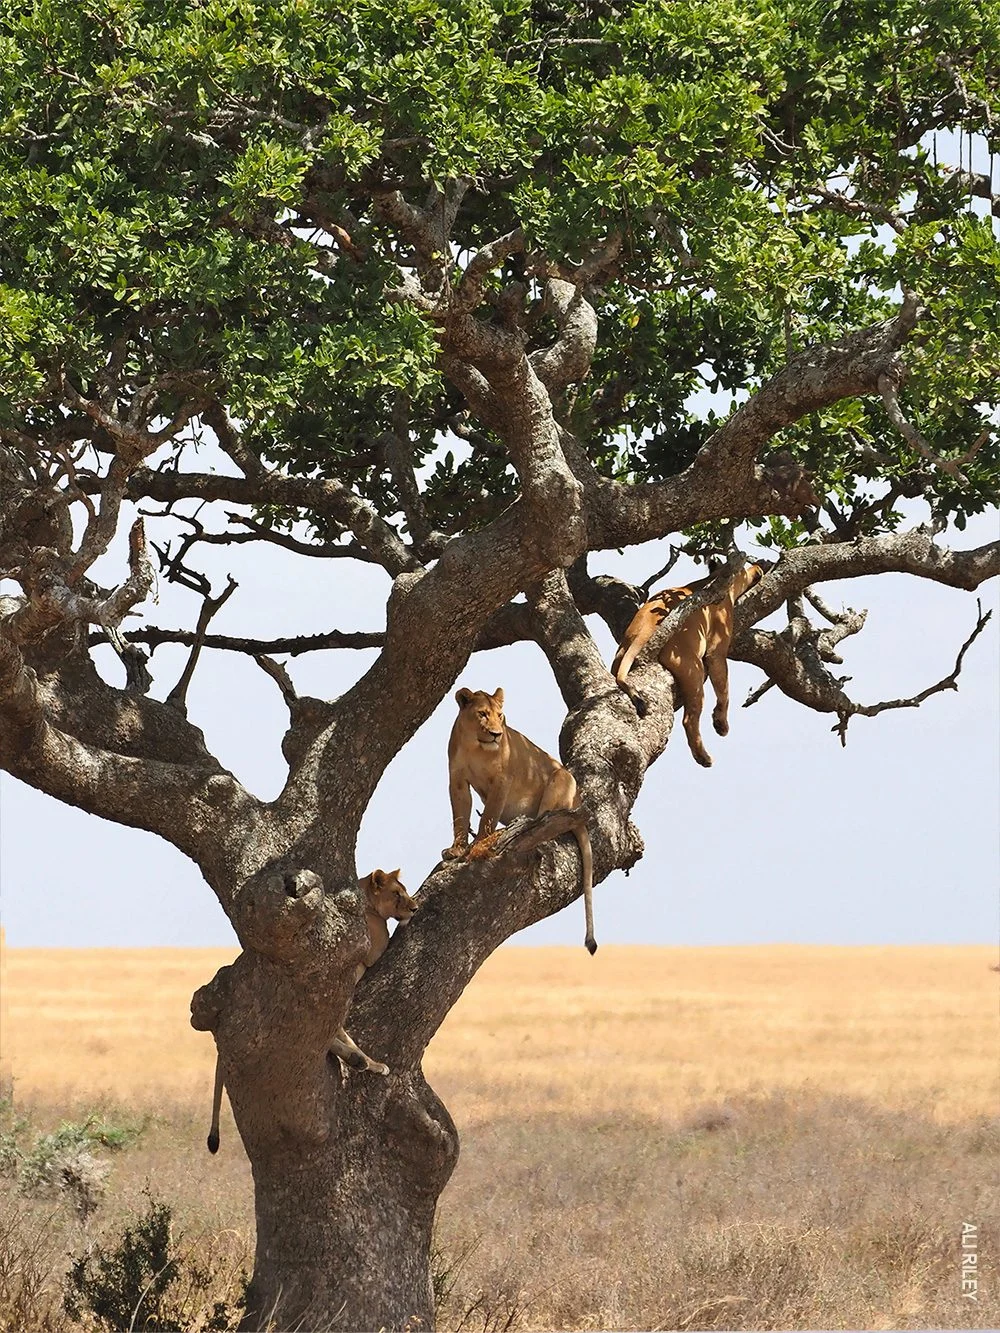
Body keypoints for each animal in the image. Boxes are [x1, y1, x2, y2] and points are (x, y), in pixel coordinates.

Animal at [206, 869, 418, 1153]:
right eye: (396, 893)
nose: (414, 908)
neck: (368, 902)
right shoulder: (373, 951)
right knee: (334, 1034)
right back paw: (368, 1062)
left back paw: (359, 1060)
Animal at [442, 687, 596, 954]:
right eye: (482, 714)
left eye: (500, 715)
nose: (496, 735)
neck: (475, 746)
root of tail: (578, 801)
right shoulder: (457, 781)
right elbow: (459, 817)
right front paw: (457, 849)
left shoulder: (502, 781)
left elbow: (488, 817)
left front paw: (479, 846)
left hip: (560, 777)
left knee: (544, 823)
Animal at [611, 563, 765, 768]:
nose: (758, 566)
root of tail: (641, 633)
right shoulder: (717, 650)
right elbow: (724, 689)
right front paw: (721, 723)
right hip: (694, 669)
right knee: (689, 719)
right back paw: (703, 757)